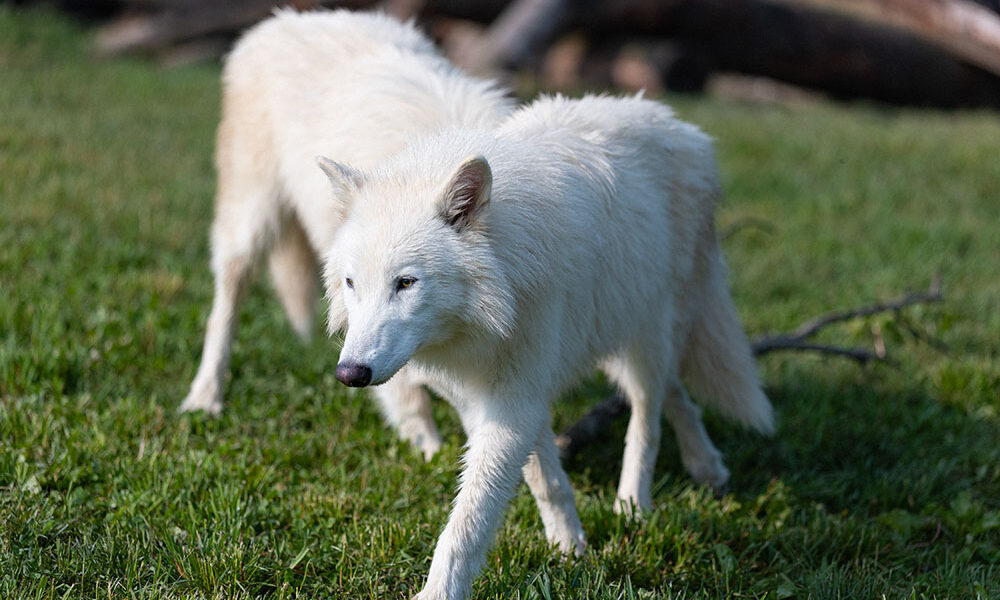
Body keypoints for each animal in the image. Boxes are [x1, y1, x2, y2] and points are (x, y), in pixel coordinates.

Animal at [178, 8, 513, 460]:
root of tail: (289, 18)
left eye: (408, 282)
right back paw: (205, 398)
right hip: (248, 226)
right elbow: (411, 391)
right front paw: (425, 447)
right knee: (223, 311)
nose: (349, 375)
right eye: (352, 282)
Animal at [319, 93, 775, 599]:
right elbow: (544, 480)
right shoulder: (496, 398)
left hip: (643, 338)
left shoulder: (518, 397)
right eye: (351, 284)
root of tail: (678, 124)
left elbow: (468, 521)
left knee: (647, 415)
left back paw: (633, 504)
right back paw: (707, 467)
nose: (350, 374)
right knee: (678, 395)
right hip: (610, 337)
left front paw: (440, 592)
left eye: (405, 283)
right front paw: (569, 546)